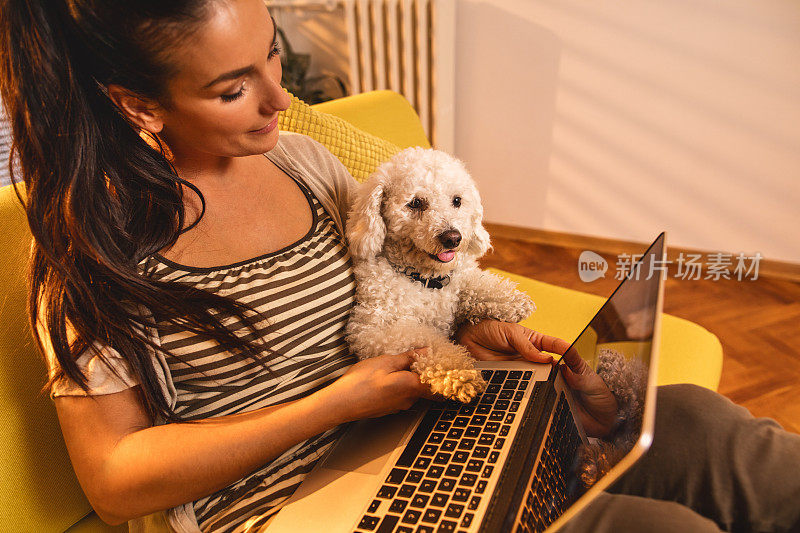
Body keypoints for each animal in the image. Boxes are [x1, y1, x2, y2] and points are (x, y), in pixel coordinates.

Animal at [346, 148, 536, 402]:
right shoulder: (373, 331)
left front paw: (510, 301)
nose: (452, 238)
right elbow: (427, 340)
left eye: (457, 200)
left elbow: (473, 285)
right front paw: (457, 372)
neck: (425, 280)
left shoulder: (457, 284)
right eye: (416, 203)